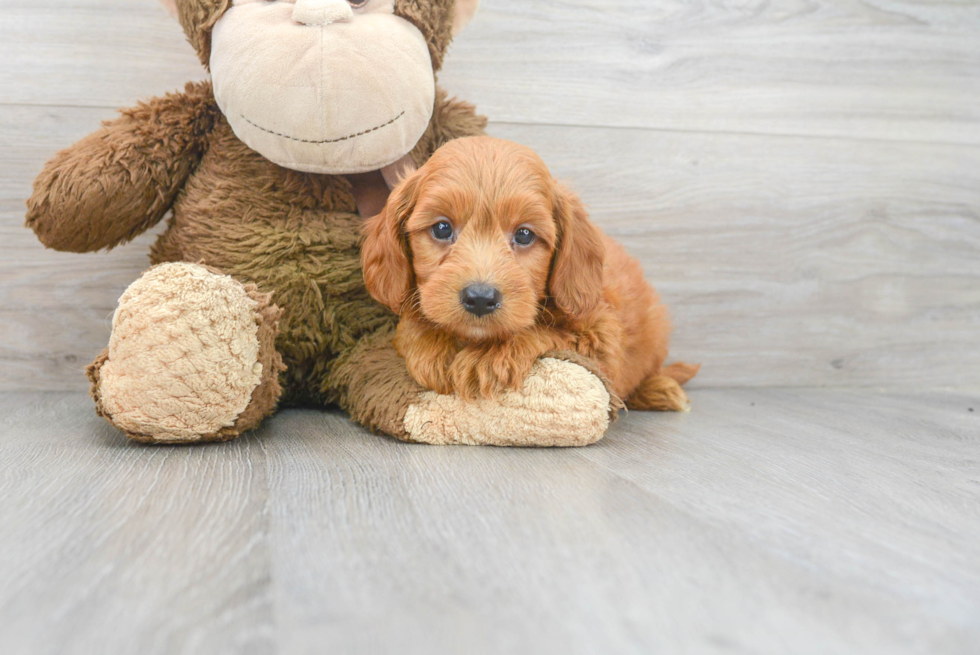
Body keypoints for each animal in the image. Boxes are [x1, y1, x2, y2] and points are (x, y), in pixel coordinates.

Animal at [360, 136, 696, 408]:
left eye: (524, 235)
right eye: (442, 228)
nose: (480, 298)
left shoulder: (602, 337)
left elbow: (548, 330)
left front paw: (489, 356)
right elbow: (412, 324)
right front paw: (432, 347)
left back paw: (660, 389)